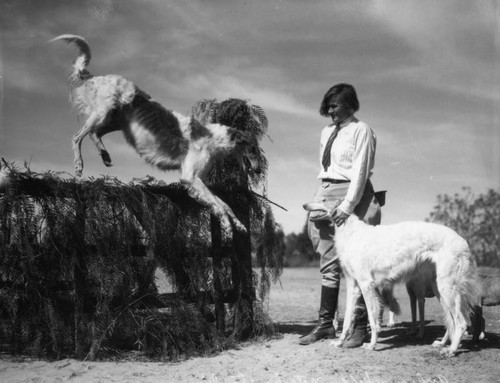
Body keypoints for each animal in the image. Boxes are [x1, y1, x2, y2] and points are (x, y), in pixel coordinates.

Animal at [50, 34, 262, 237]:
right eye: (253, 149)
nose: (259, 170)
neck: (212, 138)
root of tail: (96, 77)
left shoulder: (196, 180)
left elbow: (224, 204)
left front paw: (239, 225)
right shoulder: (190, 176)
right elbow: (220, 206)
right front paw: (228, 226)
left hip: (115, 122)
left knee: (94, 134)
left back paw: (105, 155)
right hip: (103, 114)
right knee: (77, 137)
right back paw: (79, 166)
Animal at [300, 200, 480, 358]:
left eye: (323, 200)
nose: (304, 205)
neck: (350, 232)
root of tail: (463, 241)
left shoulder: (366, 284)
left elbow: (373, 319)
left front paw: (372, 345)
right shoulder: (353, 285)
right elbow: (347, 320)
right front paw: (339, 343)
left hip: (447, 288)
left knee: (461, 323)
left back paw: (451, 350)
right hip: (440, 290)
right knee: (451, 323)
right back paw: (443, 344)